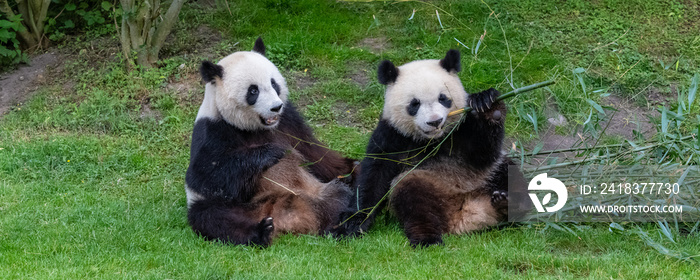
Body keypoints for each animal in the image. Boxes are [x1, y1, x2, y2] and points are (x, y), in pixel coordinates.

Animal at [187, 37, 356, 247]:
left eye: (273, 83)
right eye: (253, 91)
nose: (276, 107)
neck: (255, 127)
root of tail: (288, 218)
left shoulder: (289, 121)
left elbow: (314, 152)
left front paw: (351, 167)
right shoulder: (212, 130)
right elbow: (204, 175)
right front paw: (272, 152)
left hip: (317, 193)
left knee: (340, 199)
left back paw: (343, 225)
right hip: (238, 207)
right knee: (211, 216)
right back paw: (261, 232)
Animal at [336, 49, 528, 246]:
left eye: (443, 99)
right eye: (414, 104)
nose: (435, 121)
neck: (432, 141)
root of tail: (465, 214)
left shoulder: (462, 129)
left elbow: (483, 153)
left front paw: (488, 106)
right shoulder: (392, 135)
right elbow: (375, 176)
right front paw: (350, 224)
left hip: (488, 175)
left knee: (511, 175)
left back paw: (508, 203)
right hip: (427, 183)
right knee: (414, 200)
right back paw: (427, 239)